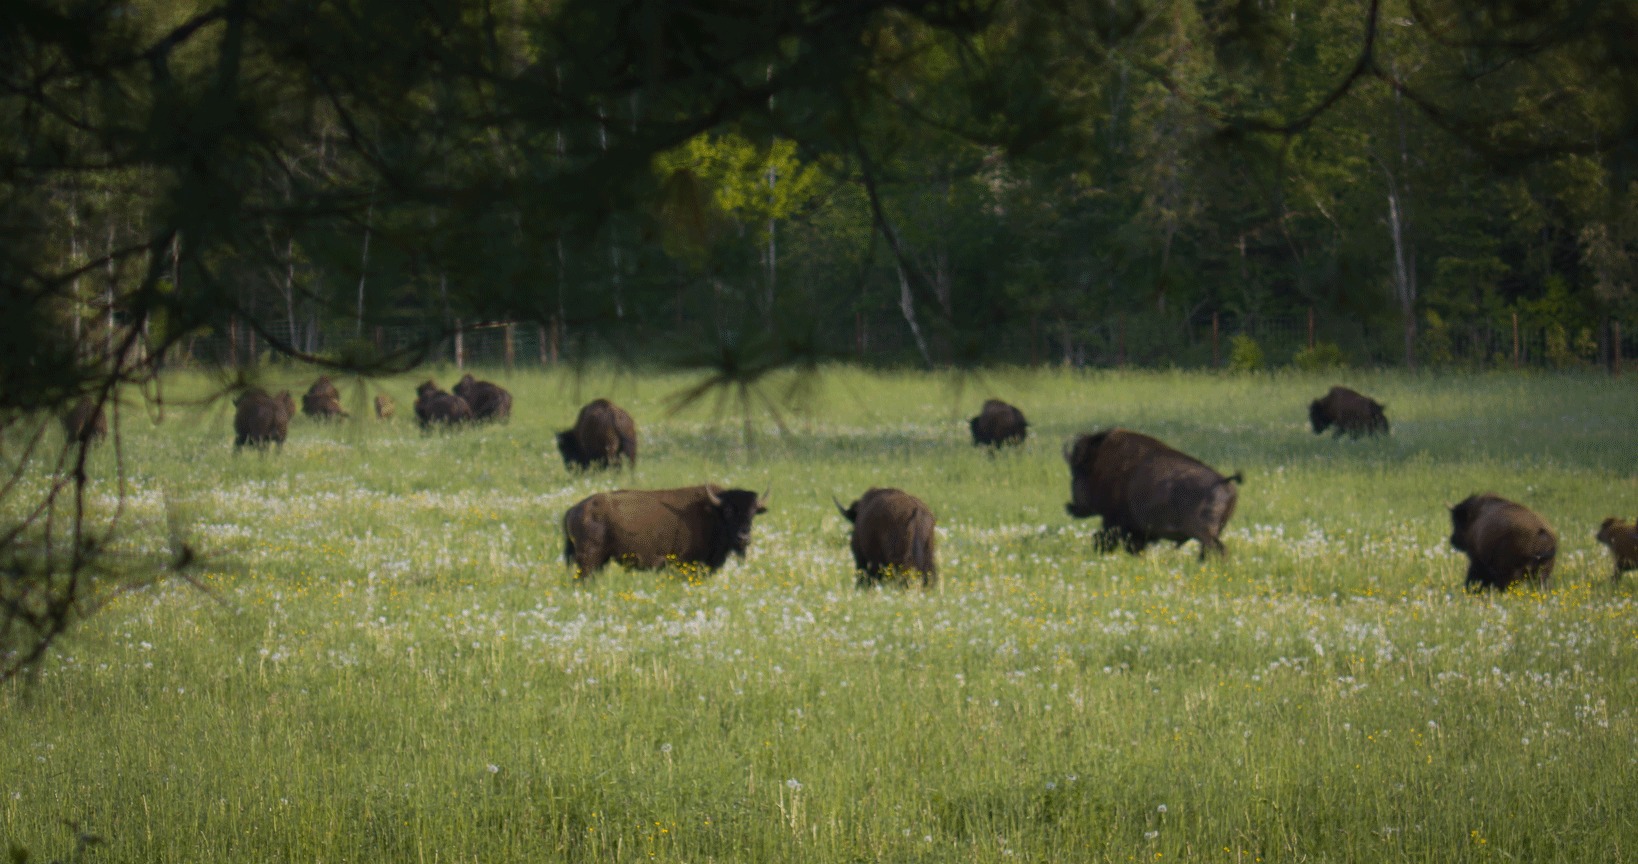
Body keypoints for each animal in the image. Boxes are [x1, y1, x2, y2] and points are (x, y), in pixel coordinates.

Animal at [562, 484, 768, 577]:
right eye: (727, 511)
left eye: (752, 513)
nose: (743, 537)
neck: (711, 511)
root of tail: (575, 509)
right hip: (589, 559)